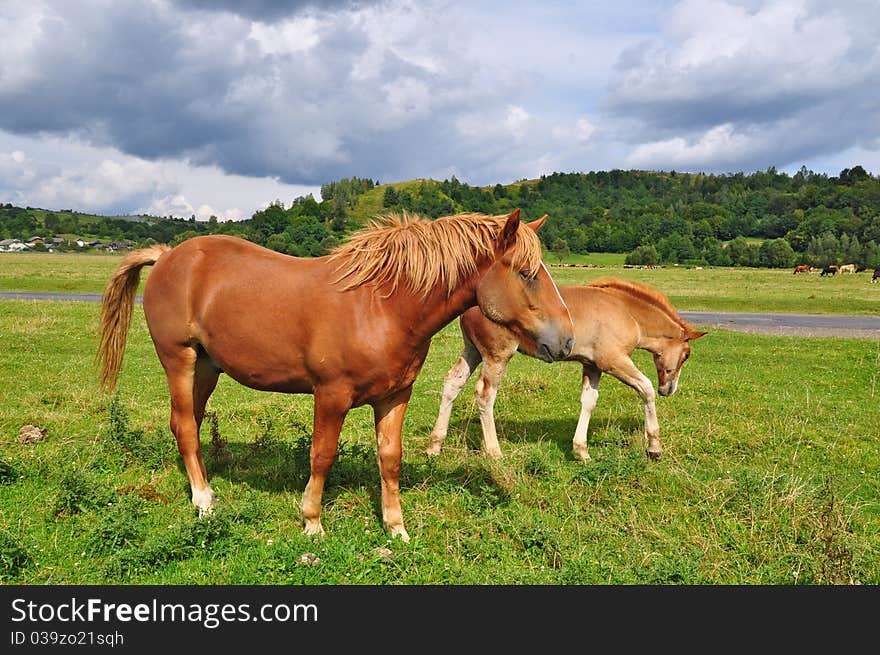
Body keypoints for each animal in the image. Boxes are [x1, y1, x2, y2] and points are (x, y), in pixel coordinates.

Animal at [426, 276, 708, 462]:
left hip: (473, 350)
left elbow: (589, 401)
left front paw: (581, 450)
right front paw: (654, 447)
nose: (668, 389)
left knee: (453, 382)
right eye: (687, 355)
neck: (626, 312)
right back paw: (494, 451)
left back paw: (434, 446)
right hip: (497, 355)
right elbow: (645, 388)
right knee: (485, 394)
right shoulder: (614, 361)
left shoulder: (592, 366)